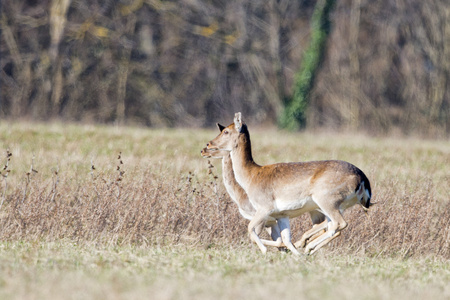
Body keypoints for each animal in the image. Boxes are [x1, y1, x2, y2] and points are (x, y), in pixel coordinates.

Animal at [205, 112, 372, 255]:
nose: (207, 145)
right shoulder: (281, 215)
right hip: (335, 206)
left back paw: (308, 246)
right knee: (331, 226)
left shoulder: (264, 208)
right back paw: (307, 248)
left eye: (226, 131)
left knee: (339, 224)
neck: (250, 177)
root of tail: (363, 179)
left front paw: (265, 250)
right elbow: (285, 239)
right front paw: (296, 255)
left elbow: (251, 229)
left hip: (327, 200)